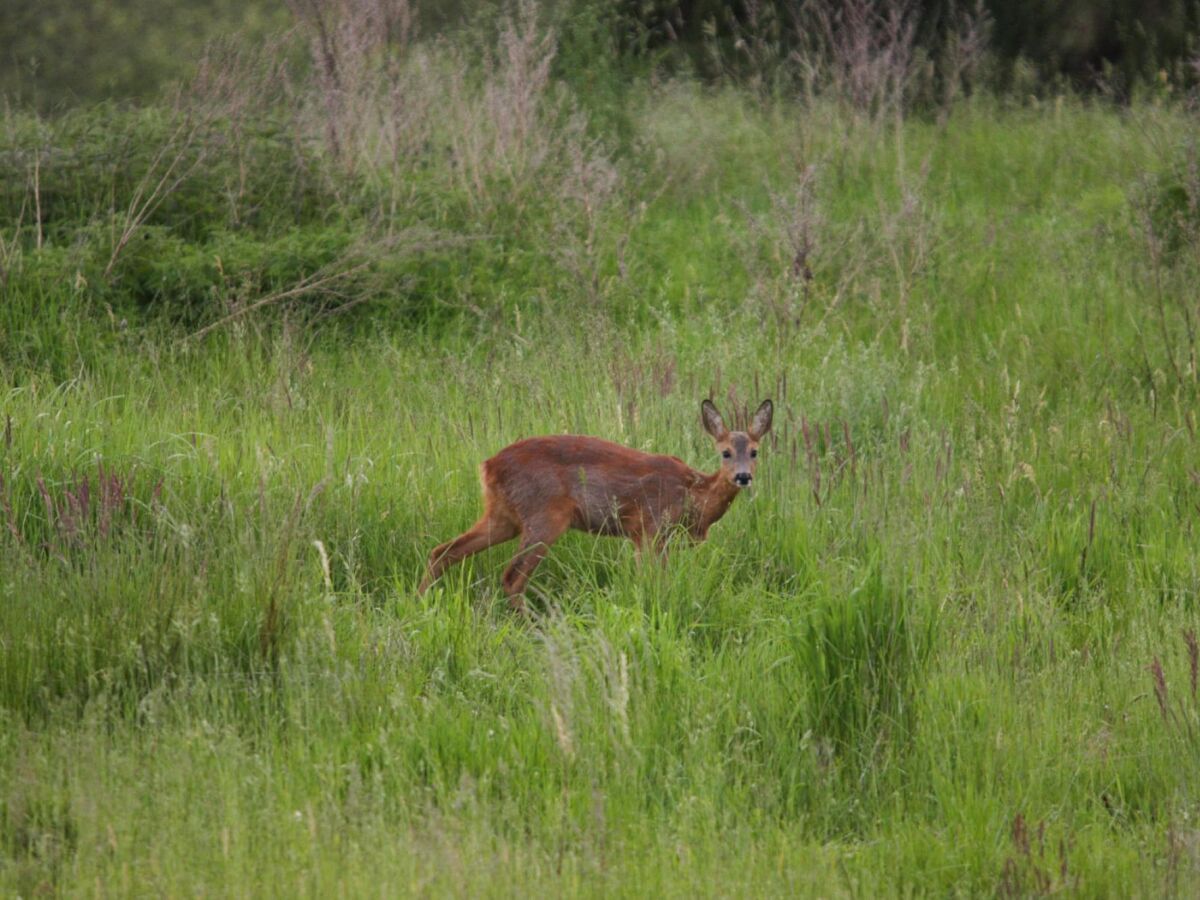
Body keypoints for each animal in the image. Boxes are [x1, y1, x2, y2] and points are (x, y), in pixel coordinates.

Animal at [417, 400, 772, 614]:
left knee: (443, 551)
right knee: (512, 575)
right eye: (726, 452)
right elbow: (651, 581)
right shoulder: (649, 528)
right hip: (544, 516)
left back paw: (421, 602)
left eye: (754, 451)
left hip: (503, 515)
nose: (743, 477)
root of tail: (488, 466)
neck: (693, 496)